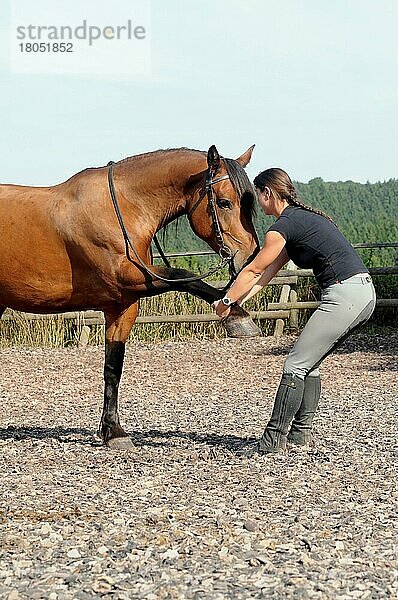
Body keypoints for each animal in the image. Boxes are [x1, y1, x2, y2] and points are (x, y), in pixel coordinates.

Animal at [0, 144, 260, 446]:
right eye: (224, 202)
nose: (251, 256)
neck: (124, 209)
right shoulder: (129, 280)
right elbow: (183, 276)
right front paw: (237, 317)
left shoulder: (122, 306)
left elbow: (113, 368)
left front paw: (113, 431)